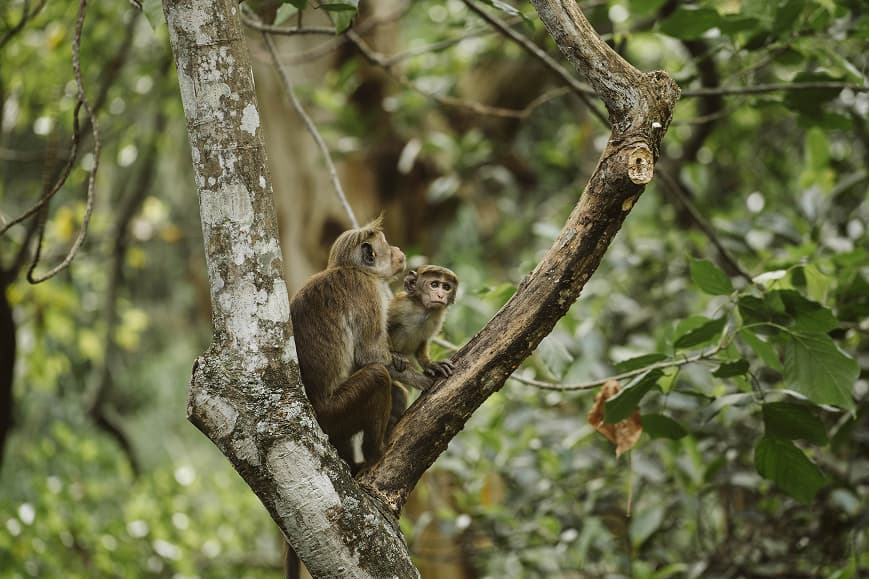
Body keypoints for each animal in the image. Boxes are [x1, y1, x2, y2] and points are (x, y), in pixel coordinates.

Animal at [385, 265, 459, 434]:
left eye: (446, 287)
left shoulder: (437, 316)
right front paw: (396, 356)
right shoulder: (400, 304)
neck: (423, 310)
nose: (440, 295)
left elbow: (423, 342)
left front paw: (432, 365)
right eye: (434, 284)